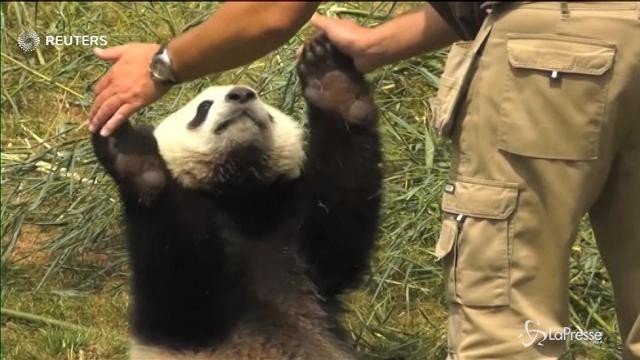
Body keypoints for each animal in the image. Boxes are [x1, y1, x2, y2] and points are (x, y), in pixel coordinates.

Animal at [92, 34, 382, 360]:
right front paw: (132, 152)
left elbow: (339, 238)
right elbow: (181, 286)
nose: (241, 95)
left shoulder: (293, 235)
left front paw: (333, 83)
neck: (237, 192)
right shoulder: (172, 318)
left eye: (265, 106)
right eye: (203, 107)